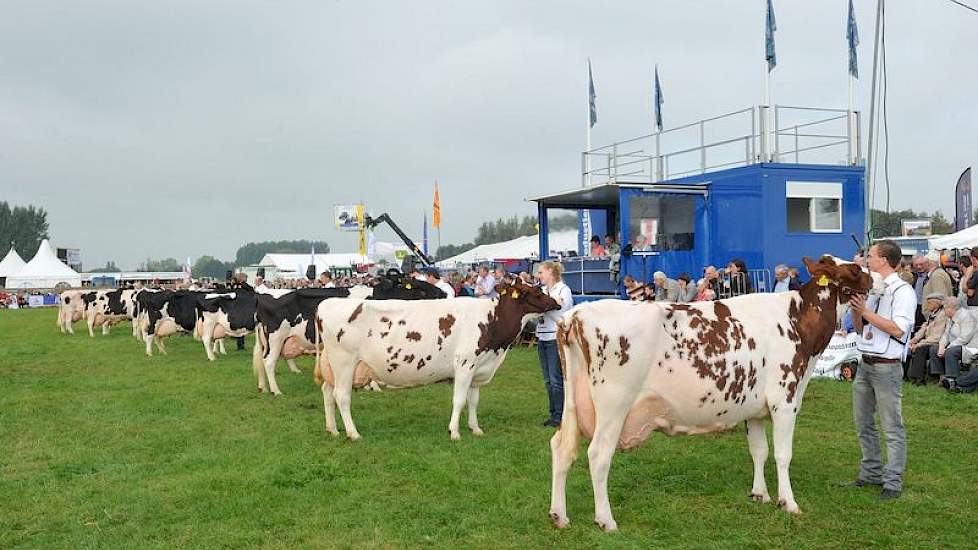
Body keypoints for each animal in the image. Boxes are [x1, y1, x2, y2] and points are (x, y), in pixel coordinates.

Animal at [316, 282, 560, 442]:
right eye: (536, 292)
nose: (557, 303)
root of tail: (326, 304)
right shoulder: (465, 364)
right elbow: (459, 401)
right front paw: (455, 432)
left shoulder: (478, 368)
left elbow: (473, 401)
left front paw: (475, 428)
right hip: (344, 362)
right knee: (341, 396)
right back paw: (353, 433)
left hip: (333, 366)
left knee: (327, 392)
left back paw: (332, 429)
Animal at [544, 256, 872, 532]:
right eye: (855, 269)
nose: (873, 277)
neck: (796, 322)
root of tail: (576, 313)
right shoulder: (785, 400)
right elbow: (782, 454)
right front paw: (788, 502)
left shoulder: (754, 409)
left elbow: (759, 451)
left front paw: (760, 494)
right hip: (614, 406)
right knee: (598, 454)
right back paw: (606, 520)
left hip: (573, 404)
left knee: (561, 448)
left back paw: (559, 516)